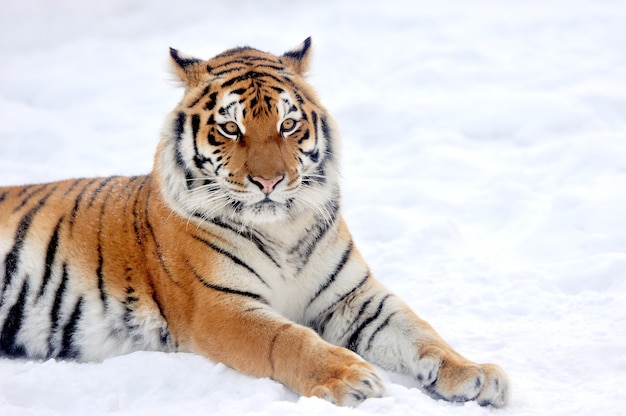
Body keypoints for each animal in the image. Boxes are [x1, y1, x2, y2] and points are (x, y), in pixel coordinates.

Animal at [0, 37, 508, 408]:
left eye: (288, 125)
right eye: (230, 128)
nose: (269, 180)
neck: (283, 229)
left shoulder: (352, 297)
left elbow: (420, 332)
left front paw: (477, 375)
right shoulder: (220, 307)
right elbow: (287, 339)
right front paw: (352, 377)